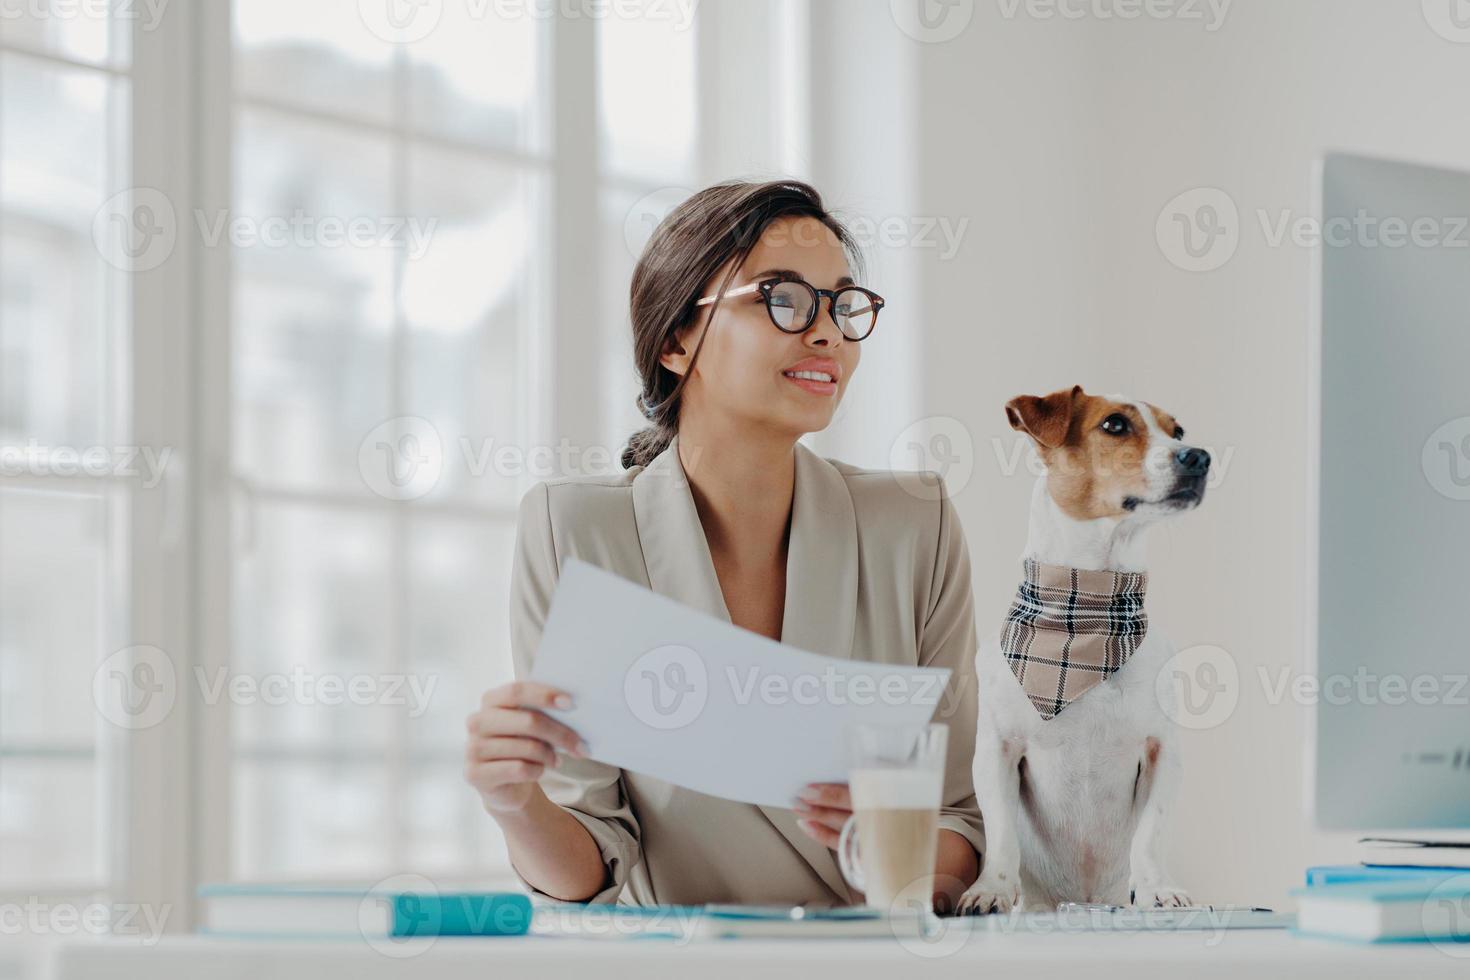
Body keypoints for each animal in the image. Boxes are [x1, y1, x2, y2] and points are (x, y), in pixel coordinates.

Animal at [958, 387, 1211, 916]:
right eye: (1114, 425)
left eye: (1177, 430)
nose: (1199, 457)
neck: (1088, 608)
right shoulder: (995, 749)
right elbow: (1001, 833)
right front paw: (991, 889)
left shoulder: (1163, 750)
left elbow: (1150, 833)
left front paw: (1157, 887)